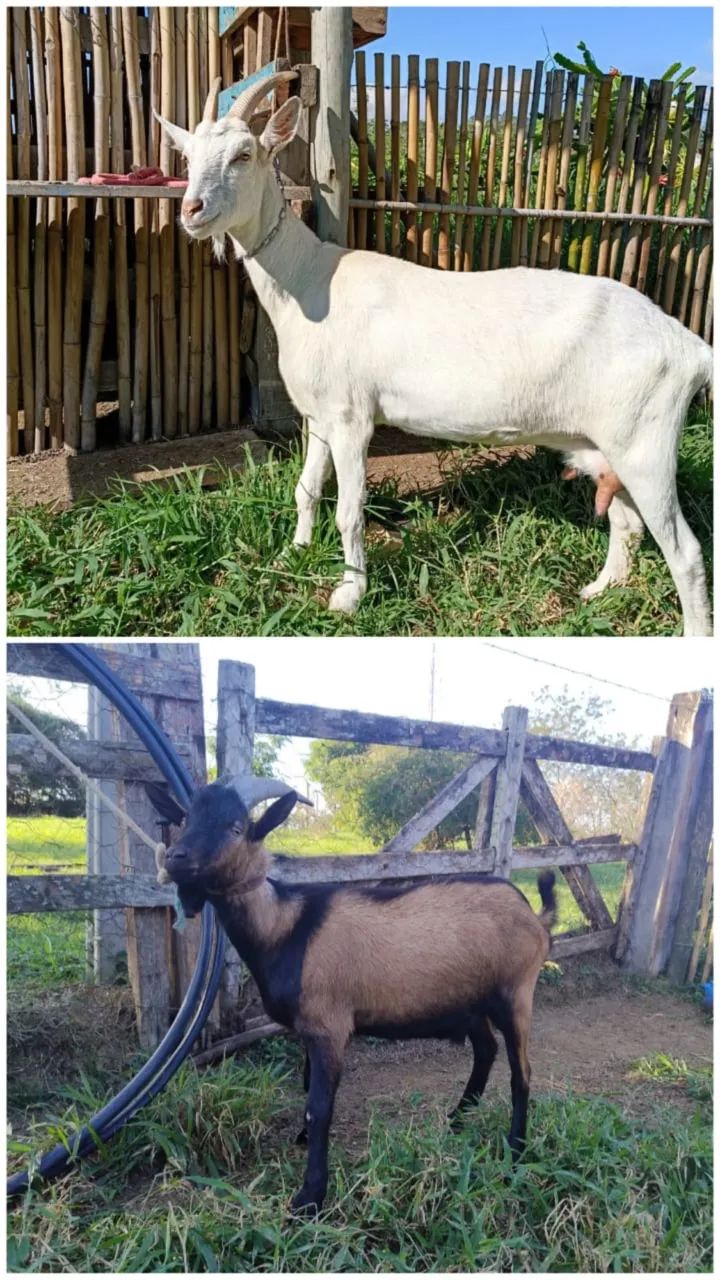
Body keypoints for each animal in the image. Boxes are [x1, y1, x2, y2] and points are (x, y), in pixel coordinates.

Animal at [148, 775, 557, 1215]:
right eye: (185, 820)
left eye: (236, 828)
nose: (175, 858)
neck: (286, 926)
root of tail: (534, 916)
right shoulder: (309, 1029)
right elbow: (307, 1087)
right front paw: (303, 1145)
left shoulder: (329, 1025)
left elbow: (320, 1107)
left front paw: (309, 1197)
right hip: (470, 1002)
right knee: (486, 1050)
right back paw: (457, 1120)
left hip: (515, 993)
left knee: (521, 1071)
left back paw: (515, 1151)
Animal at [157, 76, 712, 637]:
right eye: (188, 158)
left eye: (244, 154)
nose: (191, 211)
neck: (311, 281)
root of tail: (690, 346)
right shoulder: (319, 415)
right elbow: (306, 489)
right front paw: (292, 554)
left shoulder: (352, 417)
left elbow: (350, 509)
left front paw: (349, 595)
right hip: (606, 443)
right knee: (626, 520)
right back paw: (599, 590)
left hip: (646, 442)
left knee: (685, 551)